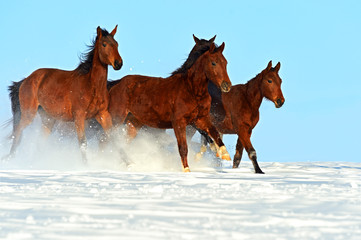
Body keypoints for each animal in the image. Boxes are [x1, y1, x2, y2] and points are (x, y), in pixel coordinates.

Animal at [6, 25, 122, 161]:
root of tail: (26, 80)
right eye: (104, 44)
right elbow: (83, 143)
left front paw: (129, 163)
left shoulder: (103, 114)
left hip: (48, 120)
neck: (91, 86)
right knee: (18, 132)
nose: (118, 63)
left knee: (39, 141)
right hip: (28, 114)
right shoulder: (79, 116)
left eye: (116, 44)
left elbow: (115, 138)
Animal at [108, 41, 231, 172]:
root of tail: (116, 84)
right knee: (113, 140)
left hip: (134, 122)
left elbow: (214, 133)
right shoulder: (179, 122)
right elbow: (183, 147)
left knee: (124, 142)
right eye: (213, 63)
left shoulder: (200, 119)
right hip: (118, 119)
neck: (191, 90)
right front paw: (186, 169)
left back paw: (130, 163)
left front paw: (224, 154)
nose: (227, 86)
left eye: (225, 62)